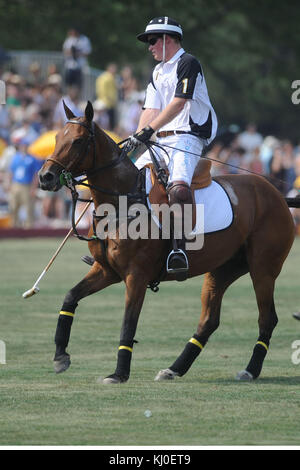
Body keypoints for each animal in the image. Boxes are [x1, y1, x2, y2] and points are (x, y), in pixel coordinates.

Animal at [38, 101, 296, 384]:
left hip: (263, 267)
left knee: (267, 318)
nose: (45, 177)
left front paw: (119, 373)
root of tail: (279, 195)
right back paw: (174, 369)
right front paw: (61, 356)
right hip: (223, 268)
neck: (121, 202)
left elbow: (128, 323)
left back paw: (250, 370)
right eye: (56, 138)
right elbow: (70, 297)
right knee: (209, 320)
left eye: (78, 140)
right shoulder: (106, 270)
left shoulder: (136, 275)